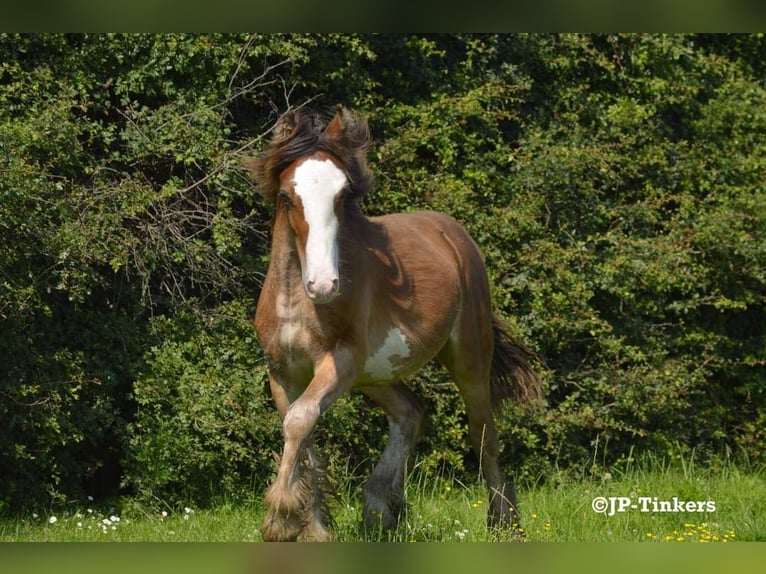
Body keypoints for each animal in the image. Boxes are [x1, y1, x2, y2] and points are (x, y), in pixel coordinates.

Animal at [244, 108, 540, 544]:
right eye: (286, 196)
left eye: (342, 195)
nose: (323, 284)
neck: (298, 303)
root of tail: (453, 234)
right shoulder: (282, 373)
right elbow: (301, 429)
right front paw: (315, 528)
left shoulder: (339, 362)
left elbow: (300, 421)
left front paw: (280, 521)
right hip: (375, 376)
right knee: (411, 411)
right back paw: (381, 508)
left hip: (468, 356)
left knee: (483, 433)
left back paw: (504, 523)